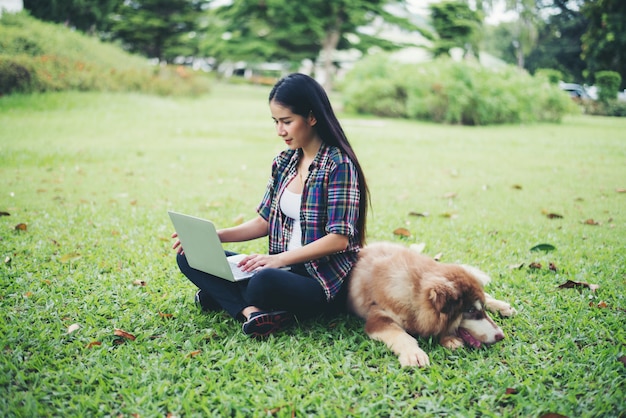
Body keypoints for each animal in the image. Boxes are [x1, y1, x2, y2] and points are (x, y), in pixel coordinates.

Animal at [344, 242, 516, 366]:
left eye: (478, 309)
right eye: (470, 310)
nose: (501, 336)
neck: (413, 291)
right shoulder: (378, 317)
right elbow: (401, 335)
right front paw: (413, 353)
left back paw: (503, 306)